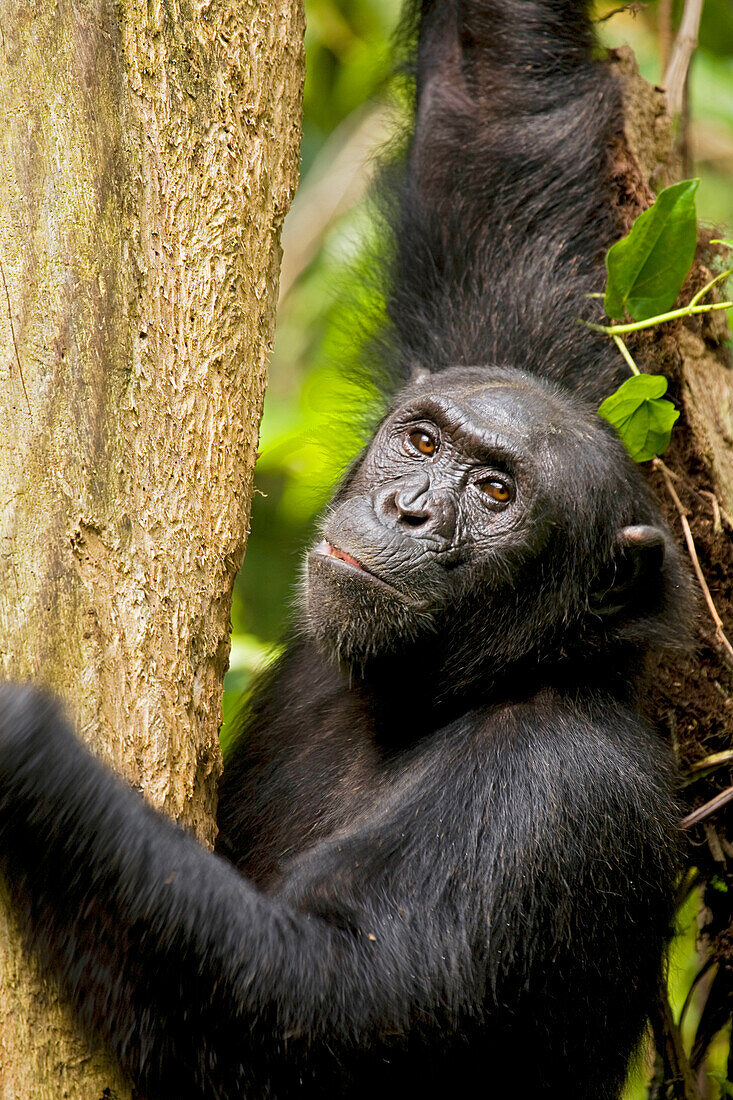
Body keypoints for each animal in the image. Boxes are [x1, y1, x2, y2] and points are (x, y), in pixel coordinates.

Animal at [0, 2, 686, 1100]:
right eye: (424, 442)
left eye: (495, 493)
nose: (407, 508)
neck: (434, 697)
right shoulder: (503, 340)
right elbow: (496, 121)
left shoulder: (554, 796)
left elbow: (331, 1008)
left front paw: (30, 750)